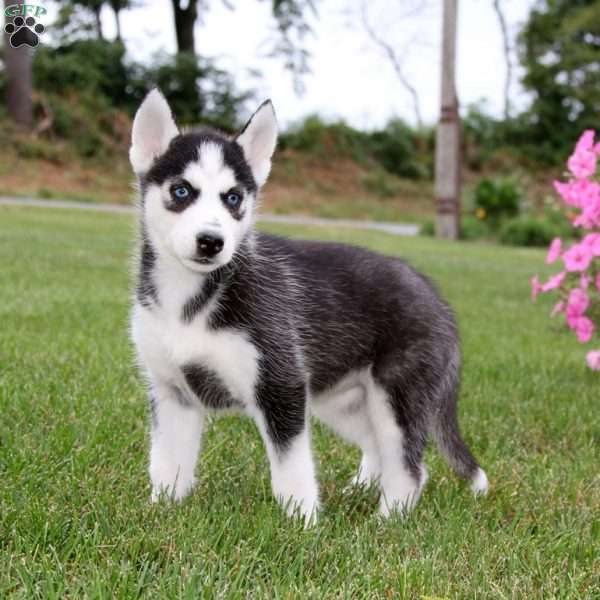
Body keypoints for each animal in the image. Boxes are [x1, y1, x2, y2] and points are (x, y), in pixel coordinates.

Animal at [130, 90, 488, 524]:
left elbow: (292, 472)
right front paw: (162, 511)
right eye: (182, 191)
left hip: (396, 398)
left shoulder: (280, 386)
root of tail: (438, 297)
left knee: (410, 467)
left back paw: (385, 522)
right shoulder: (172, 392)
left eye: (233, 198)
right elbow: (167, 463)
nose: (211, 242)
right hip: (344, 401)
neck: (189, 300)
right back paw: (360, 490)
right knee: (379, 447)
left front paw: (302, 524)